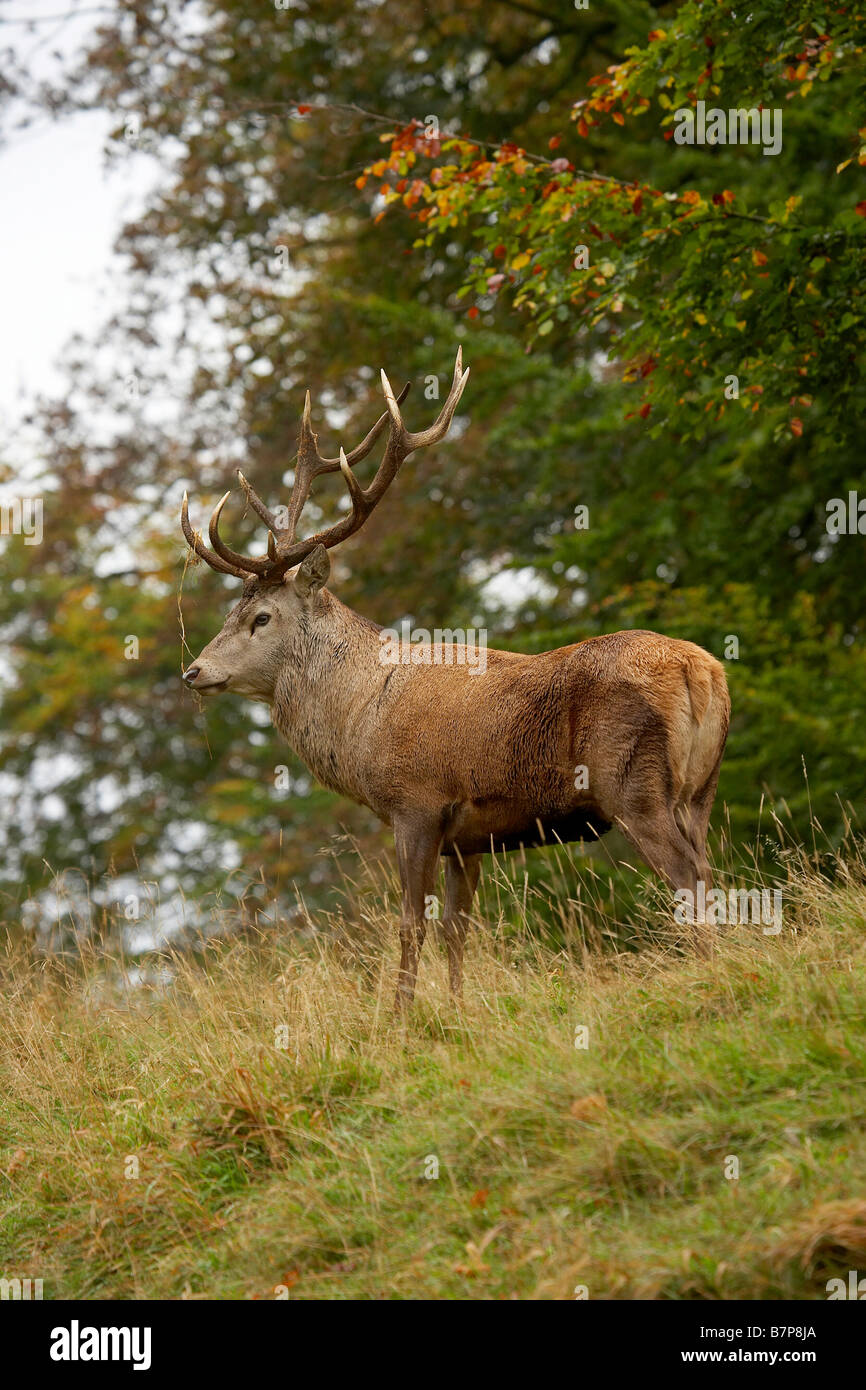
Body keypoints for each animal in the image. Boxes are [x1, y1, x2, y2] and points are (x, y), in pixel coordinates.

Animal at [180, 349, 730, 1009]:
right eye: (229, 613)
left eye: (261, 617)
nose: (193, 671)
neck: (361, 717)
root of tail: (701, 670)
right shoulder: (468, 836)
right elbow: (456, 928)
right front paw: (460, 1010)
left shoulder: (416, 804)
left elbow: (410, 925)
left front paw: (399, 1018)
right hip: (700, 788)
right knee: (710, 870)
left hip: (633, 783)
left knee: (686, 876)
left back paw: (709, 981)